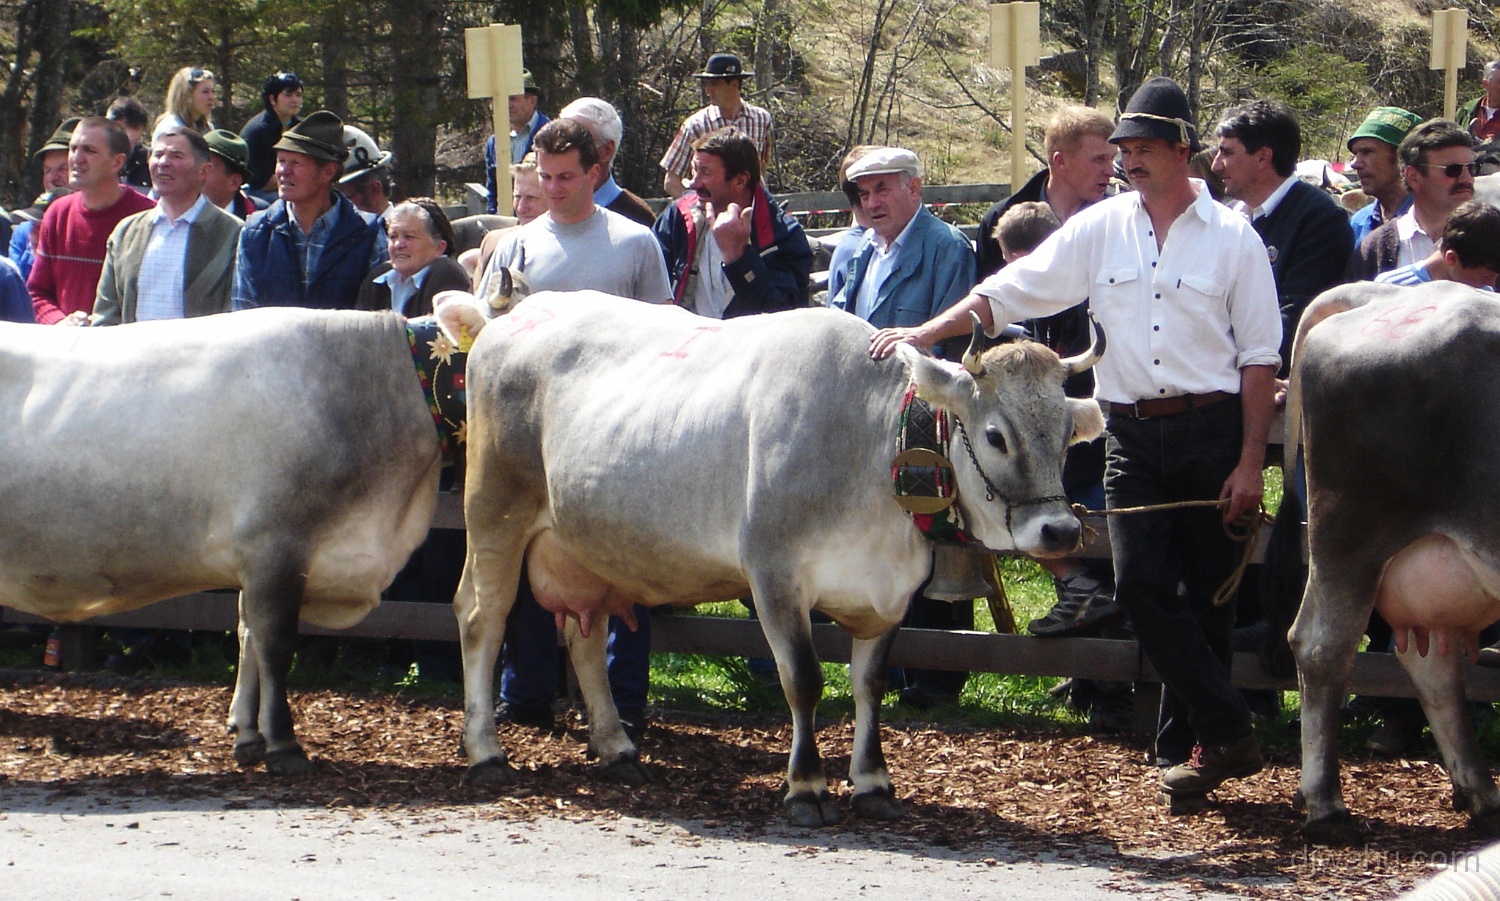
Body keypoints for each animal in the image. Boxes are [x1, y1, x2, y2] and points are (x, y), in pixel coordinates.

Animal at [456, 292, 1104, 827]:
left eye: (1067, 434)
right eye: (996, 436)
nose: (1061, 529)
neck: (868, 447)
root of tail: (507, 317)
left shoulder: (888, 593)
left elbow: (869, 684)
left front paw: (873, 783)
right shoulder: (774, 576)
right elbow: (804, 681)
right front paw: (806, 788)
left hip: (584, 547)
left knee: (584, 636)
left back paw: (616, 749)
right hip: (494, 510)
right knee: (482, 618)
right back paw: (486, 752)